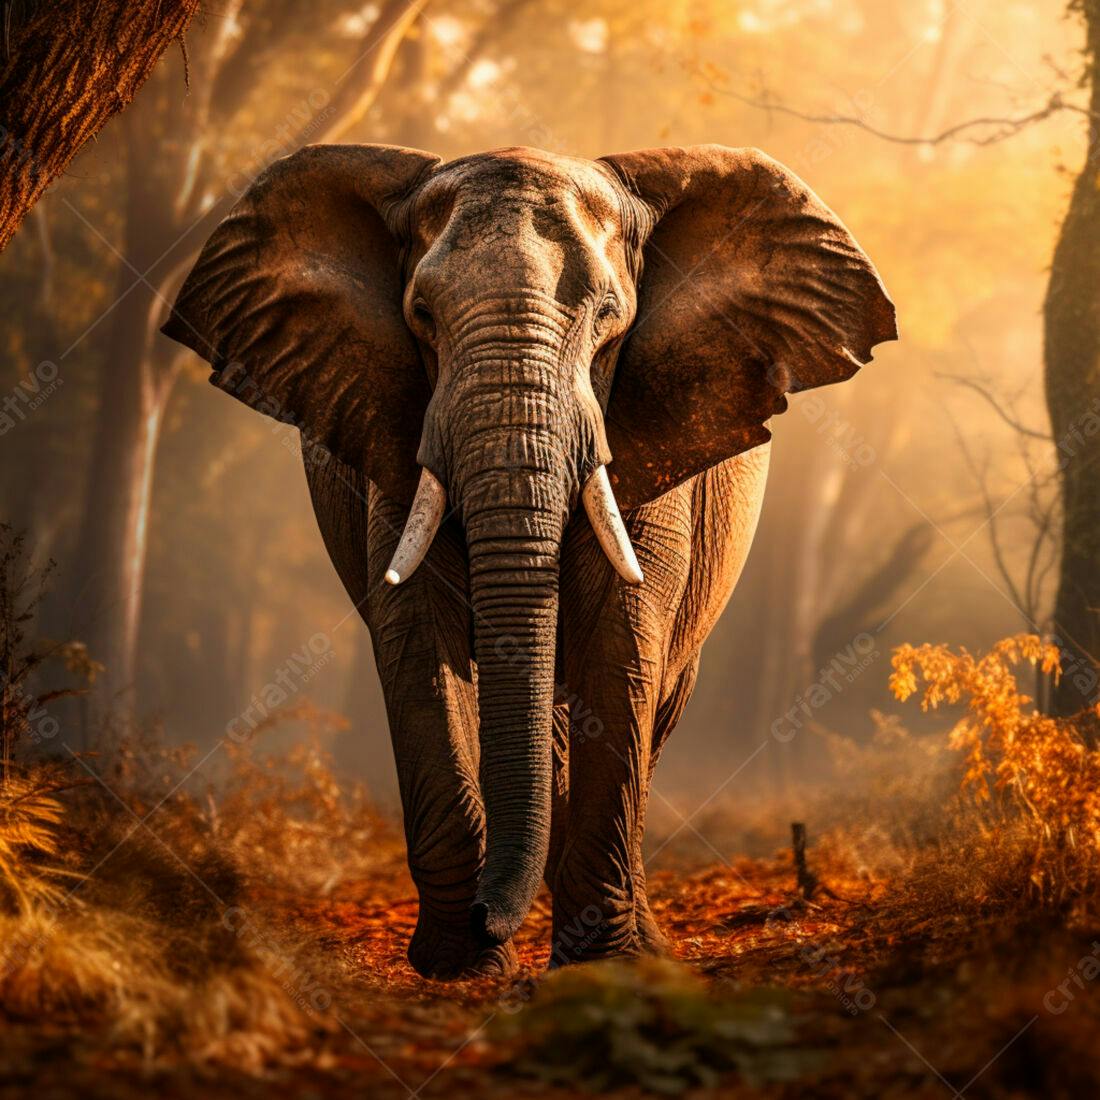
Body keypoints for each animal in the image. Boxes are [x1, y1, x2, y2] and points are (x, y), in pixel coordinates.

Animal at [162, 143, 895, 979]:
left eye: (610, 320)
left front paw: (606, 961)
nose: (490, 919)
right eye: (421, 317)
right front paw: (460, 962)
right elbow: (417, 637)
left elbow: (621, 636)